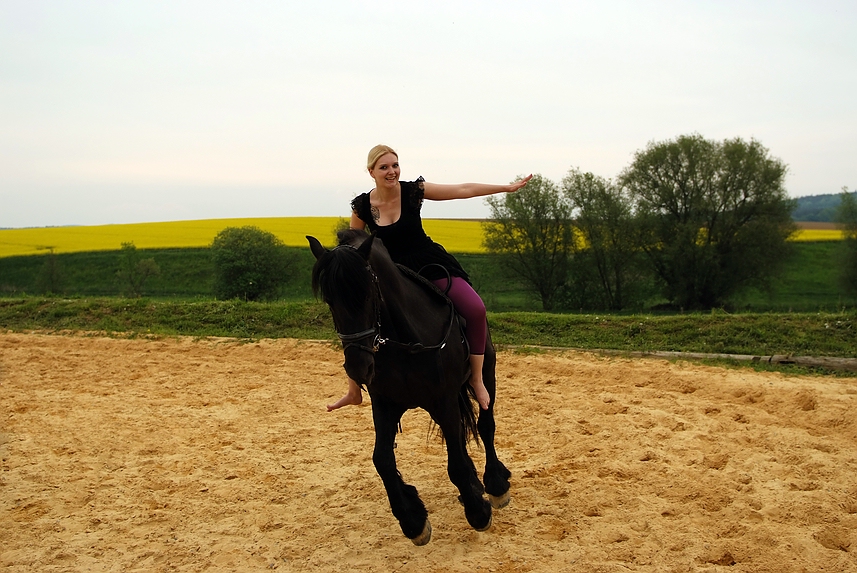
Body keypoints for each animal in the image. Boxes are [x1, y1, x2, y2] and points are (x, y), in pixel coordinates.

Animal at [308, 231, 508, 544]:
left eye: (367, 295)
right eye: (330, 300)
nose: (358, 368)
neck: (405, 342)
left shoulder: (444, 400)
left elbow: (456, 461)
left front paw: (478, 512)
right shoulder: (385, 404)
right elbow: (382, 460)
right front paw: (413, 519)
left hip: (486, 372)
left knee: (485, 425)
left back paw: (495, 485)